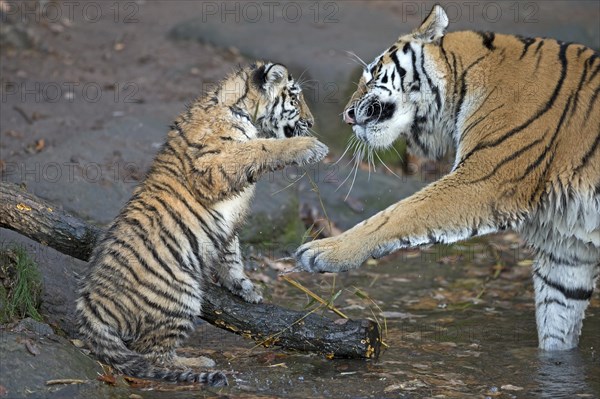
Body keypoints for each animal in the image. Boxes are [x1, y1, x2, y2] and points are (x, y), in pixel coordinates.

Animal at [296, 4, 600, 352]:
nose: (345, 115)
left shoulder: (484, 179)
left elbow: (399, 212)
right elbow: (558, 323)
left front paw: (324, 251)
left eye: (372, 75)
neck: (464, 82)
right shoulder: (566, 251)